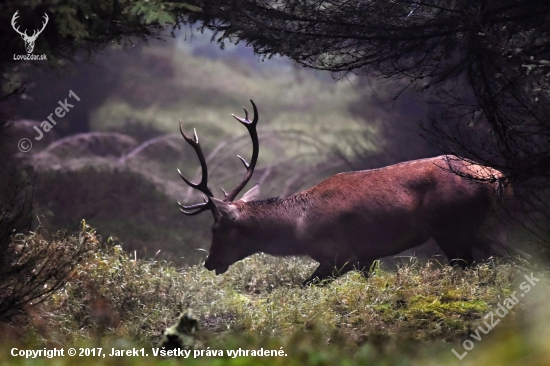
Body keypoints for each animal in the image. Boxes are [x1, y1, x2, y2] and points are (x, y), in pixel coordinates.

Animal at [180, 100, 512, 286]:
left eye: (216, 228)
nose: (209, 262)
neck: (297, 229)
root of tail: (497, 176)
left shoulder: (341, 255)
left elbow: (303, 286)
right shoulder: (367, 257)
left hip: (453, 228)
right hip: (482, 226)